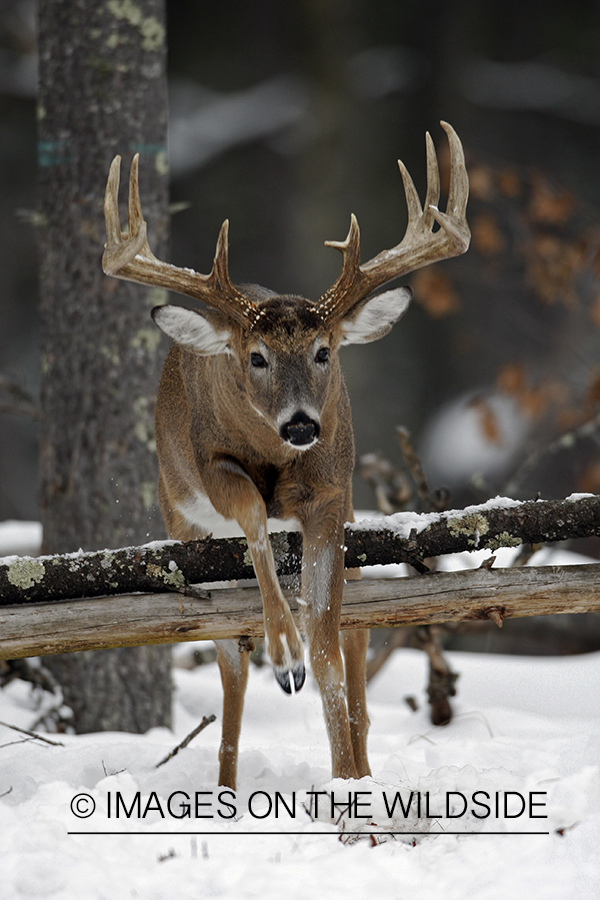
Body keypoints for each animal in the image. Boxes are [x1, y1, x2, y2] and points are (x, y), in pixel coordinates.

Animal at [102, 119, 468, 788]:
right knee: (228, 657)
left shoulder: (331, 495)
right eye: (256, 357)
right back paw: (226, 780)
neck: (278, 459)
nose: (301, 424)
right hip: (179, 513)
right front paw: (284, 654)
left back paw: (360, 758)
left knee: (352, 636)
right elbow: (251, 514)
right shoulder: (214, 468)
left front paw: (347, 777)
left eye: (324, 351)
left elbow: (328, 649)